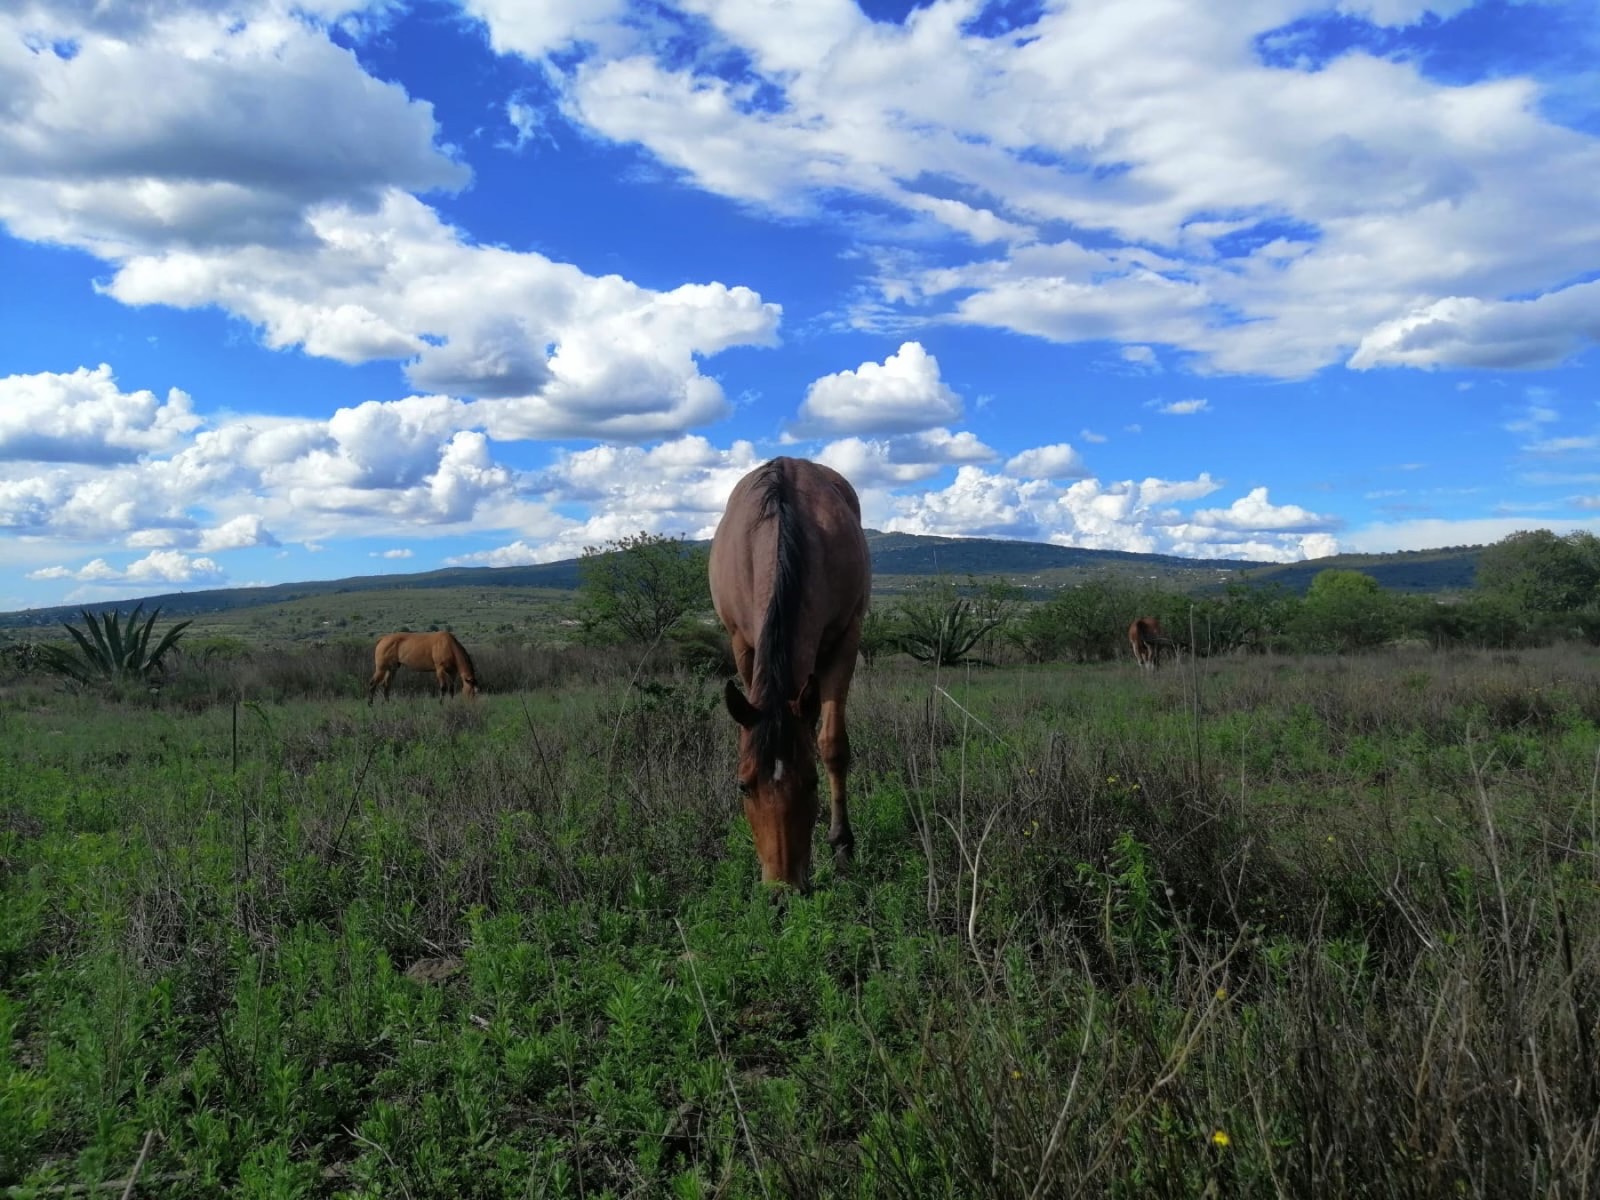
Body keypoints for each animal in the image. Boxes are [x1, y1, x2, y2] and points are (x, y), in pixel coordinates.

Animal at [709, 457, 871, 891]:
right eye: (743, 785)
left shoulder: (845, 639)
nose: (783, 890)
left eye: (811, 782)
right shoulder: (742, 644)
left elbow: (833, 745)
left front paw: (842, 845)